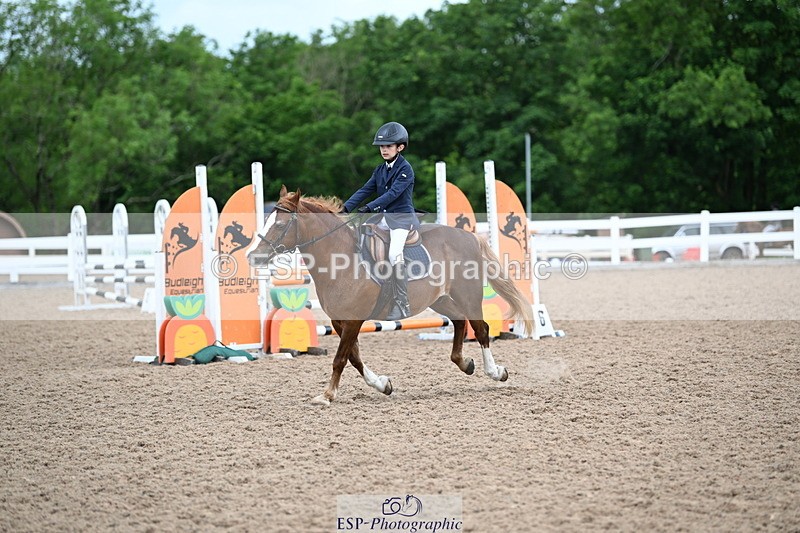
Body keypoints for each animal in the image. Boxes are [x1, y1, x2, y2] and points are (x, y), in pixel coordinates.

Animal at [246, 186, 535, 406]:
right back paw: (466, 364)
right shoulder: (339, 322)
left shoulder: (353, 320)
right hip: (440, 299)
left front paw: (327, 395)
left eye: (280, 224)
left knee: (482, 329)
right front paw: (382, 384)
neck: (340, 260)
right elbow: (354, 357)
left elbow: (340, 359)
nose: (253, 257)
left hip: (467, 294)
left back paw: (496, 372)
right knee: (459, 322)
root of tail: (470, 237)